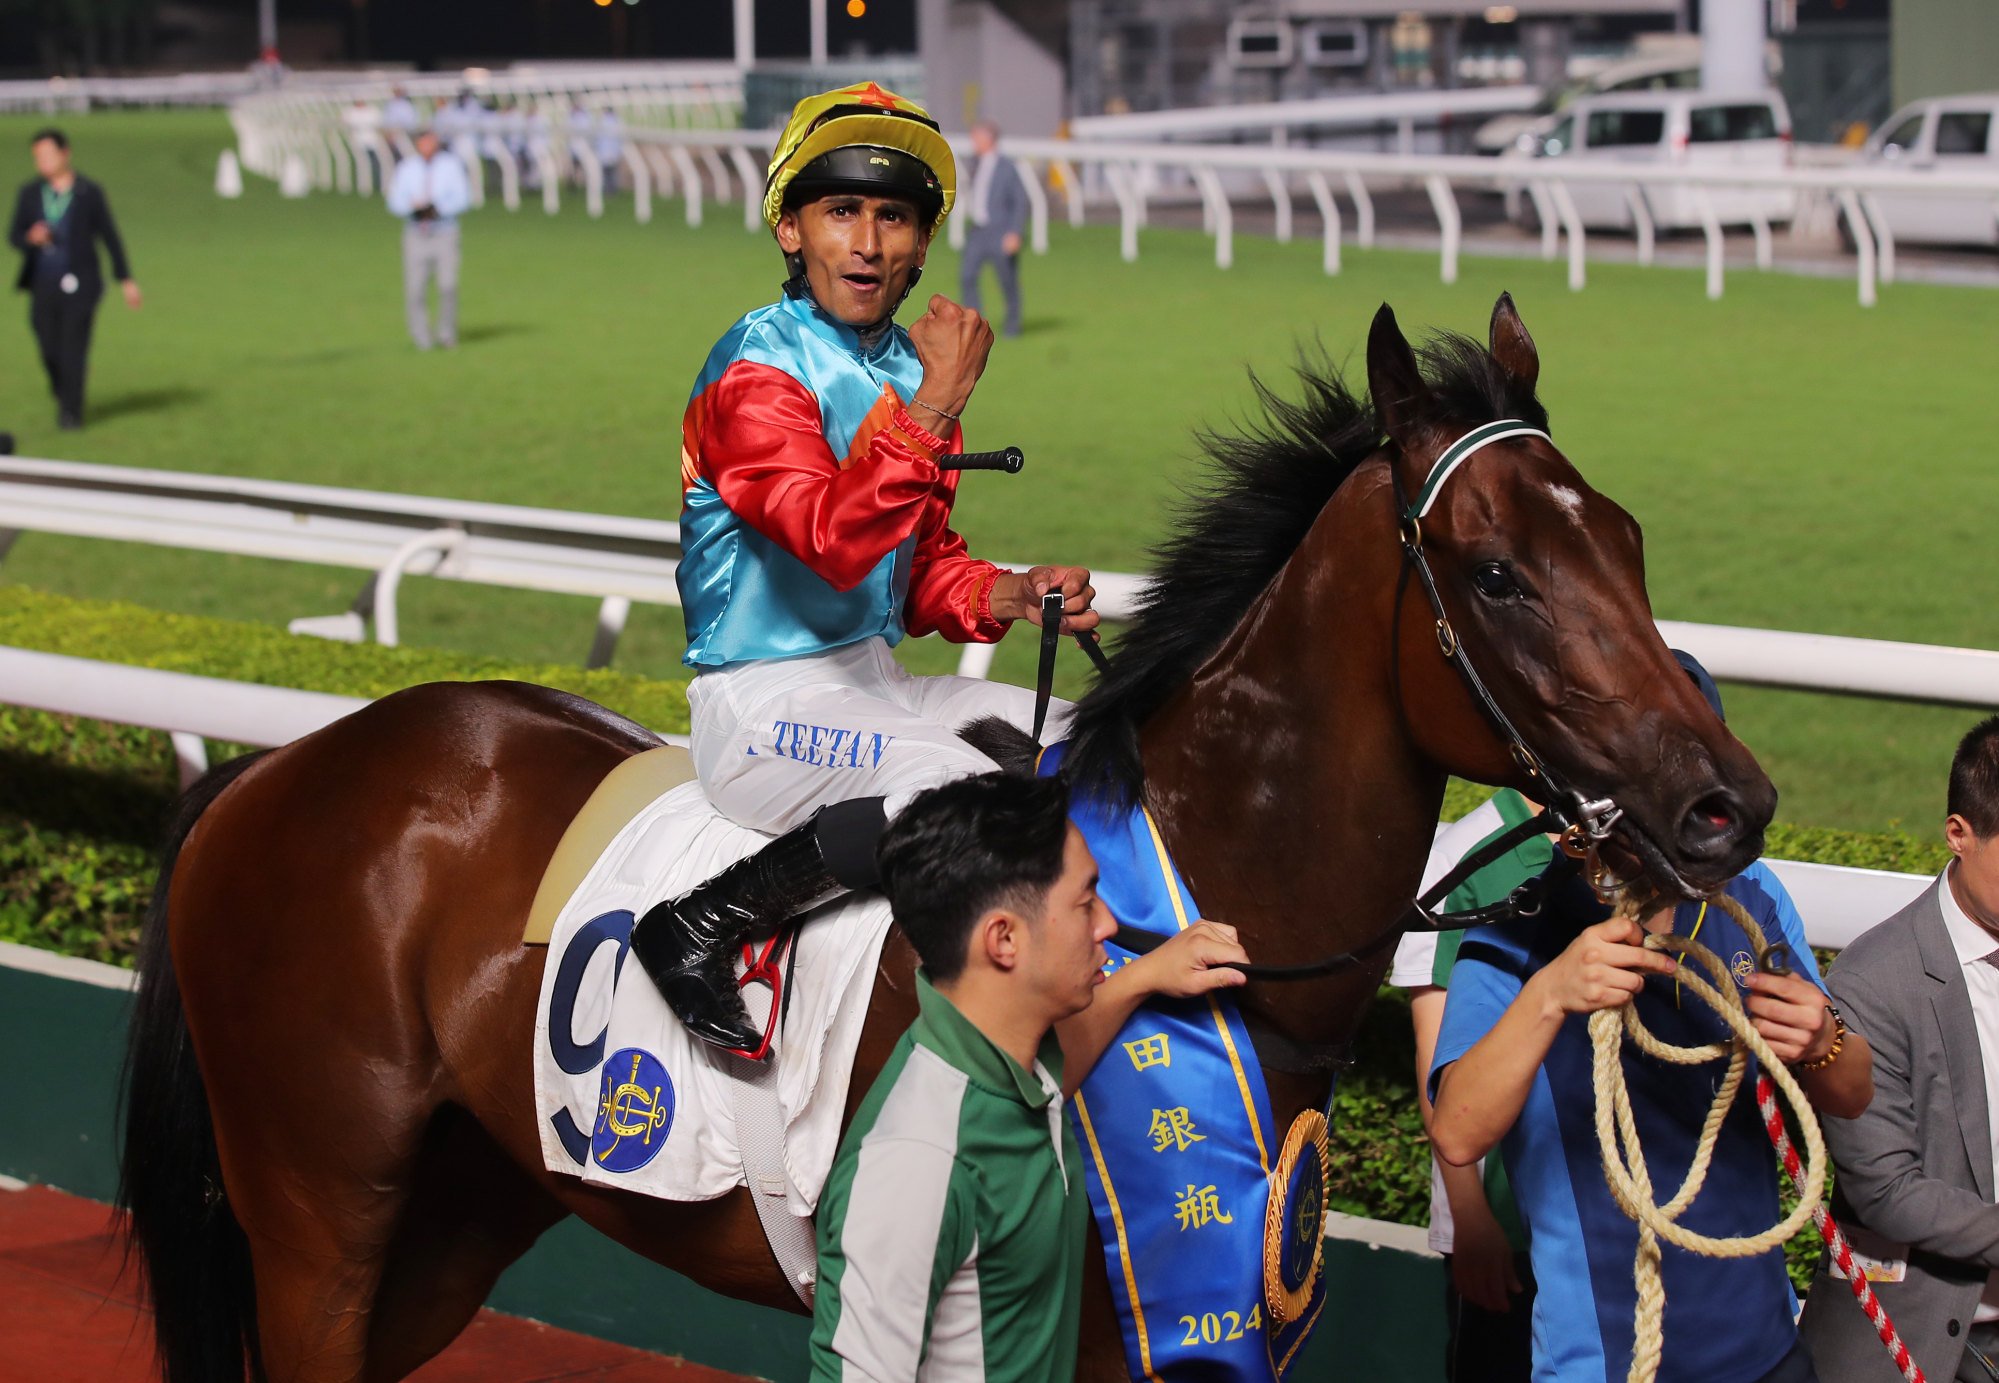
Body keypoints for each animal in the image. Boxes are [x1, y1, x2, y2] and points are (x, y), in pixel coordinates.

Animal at [120, 293, 1783, 1383]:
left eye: (1624, 538)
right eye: (1496, 572)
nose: (1725, 800)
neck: (1199, 897)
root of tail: (272, 777)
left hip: (462, 1204)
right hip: (321, 1211)